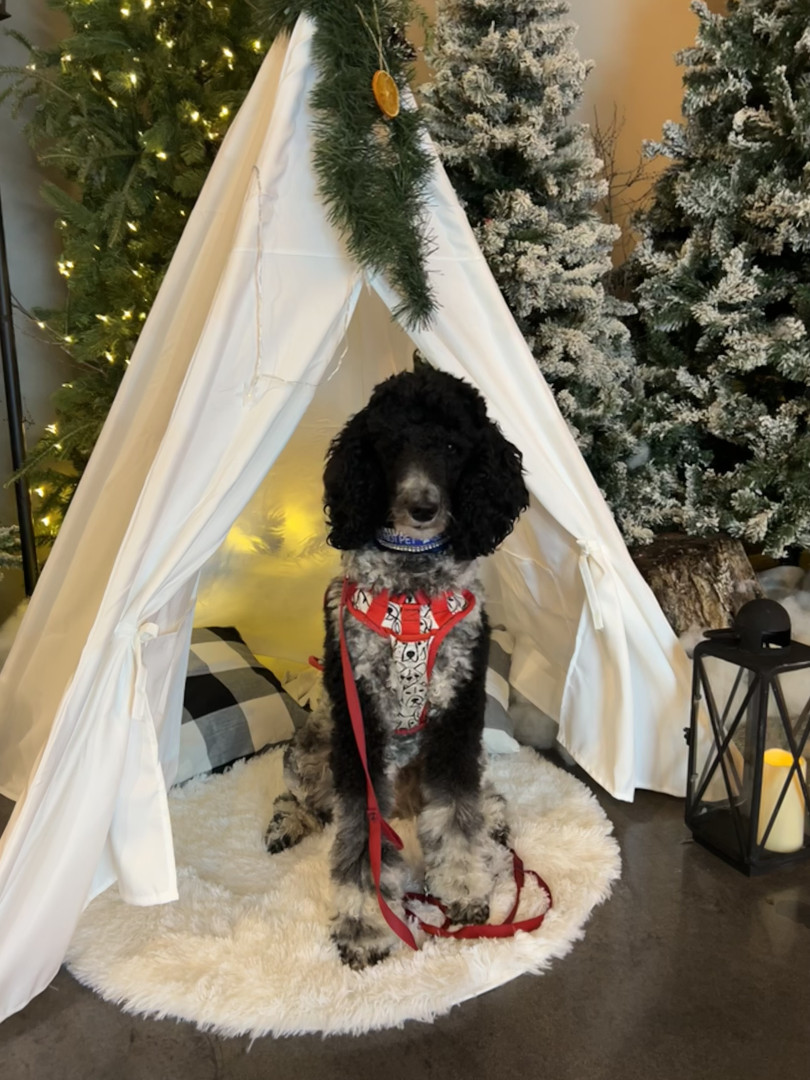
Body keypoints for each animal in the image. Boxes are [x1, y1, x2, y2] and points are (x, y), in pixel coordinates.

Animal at [265, 366, 529, 969]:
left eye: (453, 447)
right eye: (389, 445)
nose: (422, 507)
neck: (411, 588)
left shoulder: (458, 713)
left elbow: (456, 812)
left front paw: (464, 889)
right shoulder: (359, 723)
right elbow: (360, 835)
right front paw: (365, 926)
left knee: (473, 794)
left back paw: (495, 817)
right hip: (314, 743)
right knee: (306, 797)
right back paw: (288, 822)